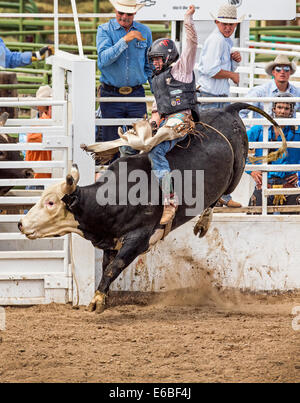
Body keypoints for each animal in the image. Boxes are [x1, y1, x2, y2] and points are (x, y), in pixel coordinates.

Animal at [17, 103, 284, 312]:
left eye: (51, 202)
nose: (21, 223)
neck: (114, 196)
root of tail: (228, 108)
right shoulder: (111, 240)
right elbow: (106, 267)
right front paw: (103, 297)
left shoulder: (138, 238)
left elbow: (114, 267)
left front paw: (96, 301)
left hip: (236, 172)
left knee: (220, 195)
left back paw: (202, 223)